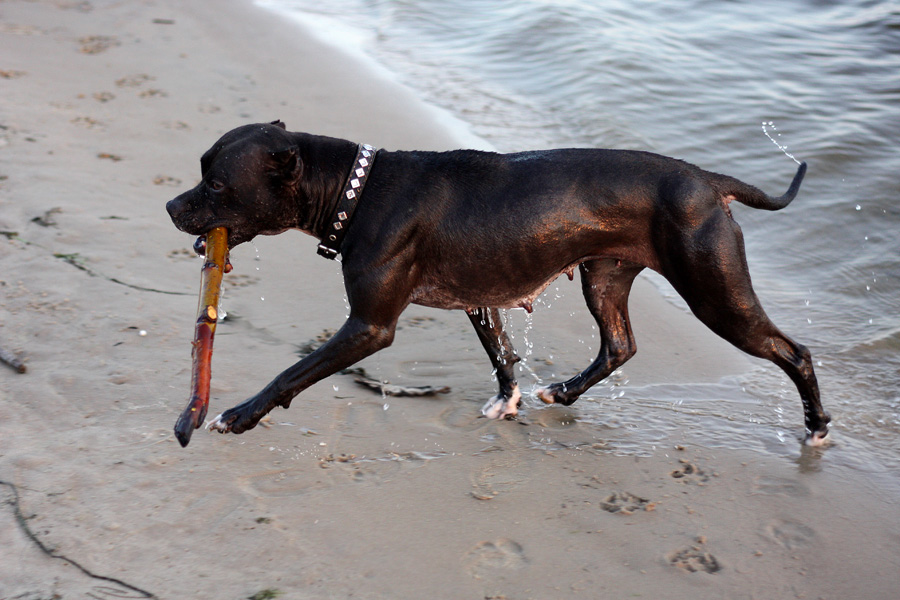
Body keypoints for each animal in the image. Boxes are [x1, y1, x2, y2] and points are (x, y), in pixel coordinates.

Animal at [167, 120, 828, 446]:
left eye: (217, 184)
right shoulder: (478, 301)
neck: (356, 190)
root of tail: (708, 181)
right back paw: (561, 393)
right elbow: (502, 354)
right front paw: (508, 401)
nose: (172, 207)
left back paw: (818, 428)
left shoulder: (369, 328)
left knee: (794, 352)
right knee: (620, 345)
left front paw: (238, 416)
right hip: (605, 279)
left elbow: (291, 374)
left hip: (717, 296)